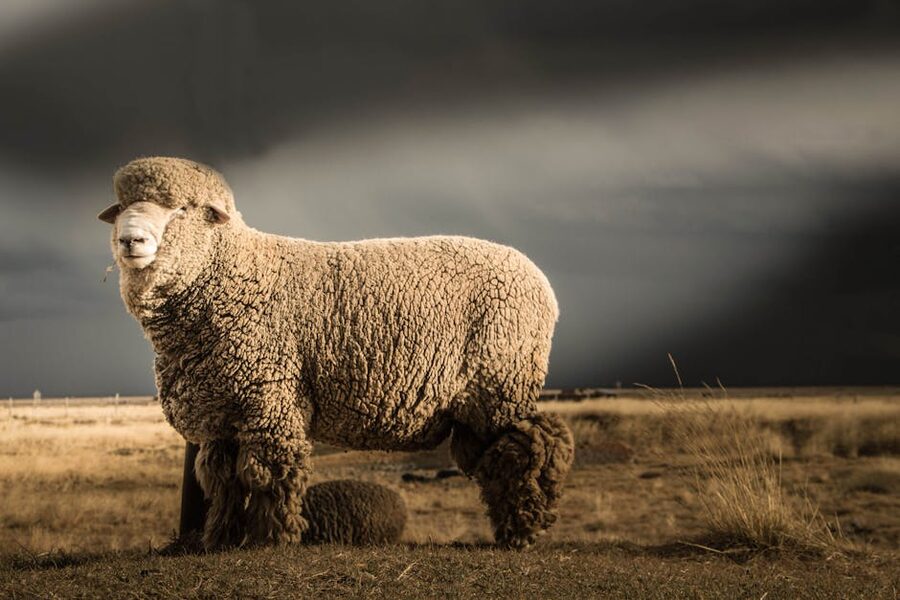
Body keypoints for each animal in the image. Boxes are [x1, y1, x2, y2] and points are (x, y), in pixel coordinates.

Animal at [99, 156, 574, 550]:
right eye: (121, 207)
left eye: (182, 209)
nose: (130, 240)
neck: (233, 273)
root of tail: (541, 280)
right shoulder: (223, 412)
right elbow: (224, 481)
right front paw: (220, 539)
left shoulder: (270, 398)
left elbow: (269, 473)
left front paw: (271, 540)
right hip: (479, 403)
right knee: (498, 454)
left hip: (501, 382)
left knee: (534, 443)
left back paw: (522, 531)